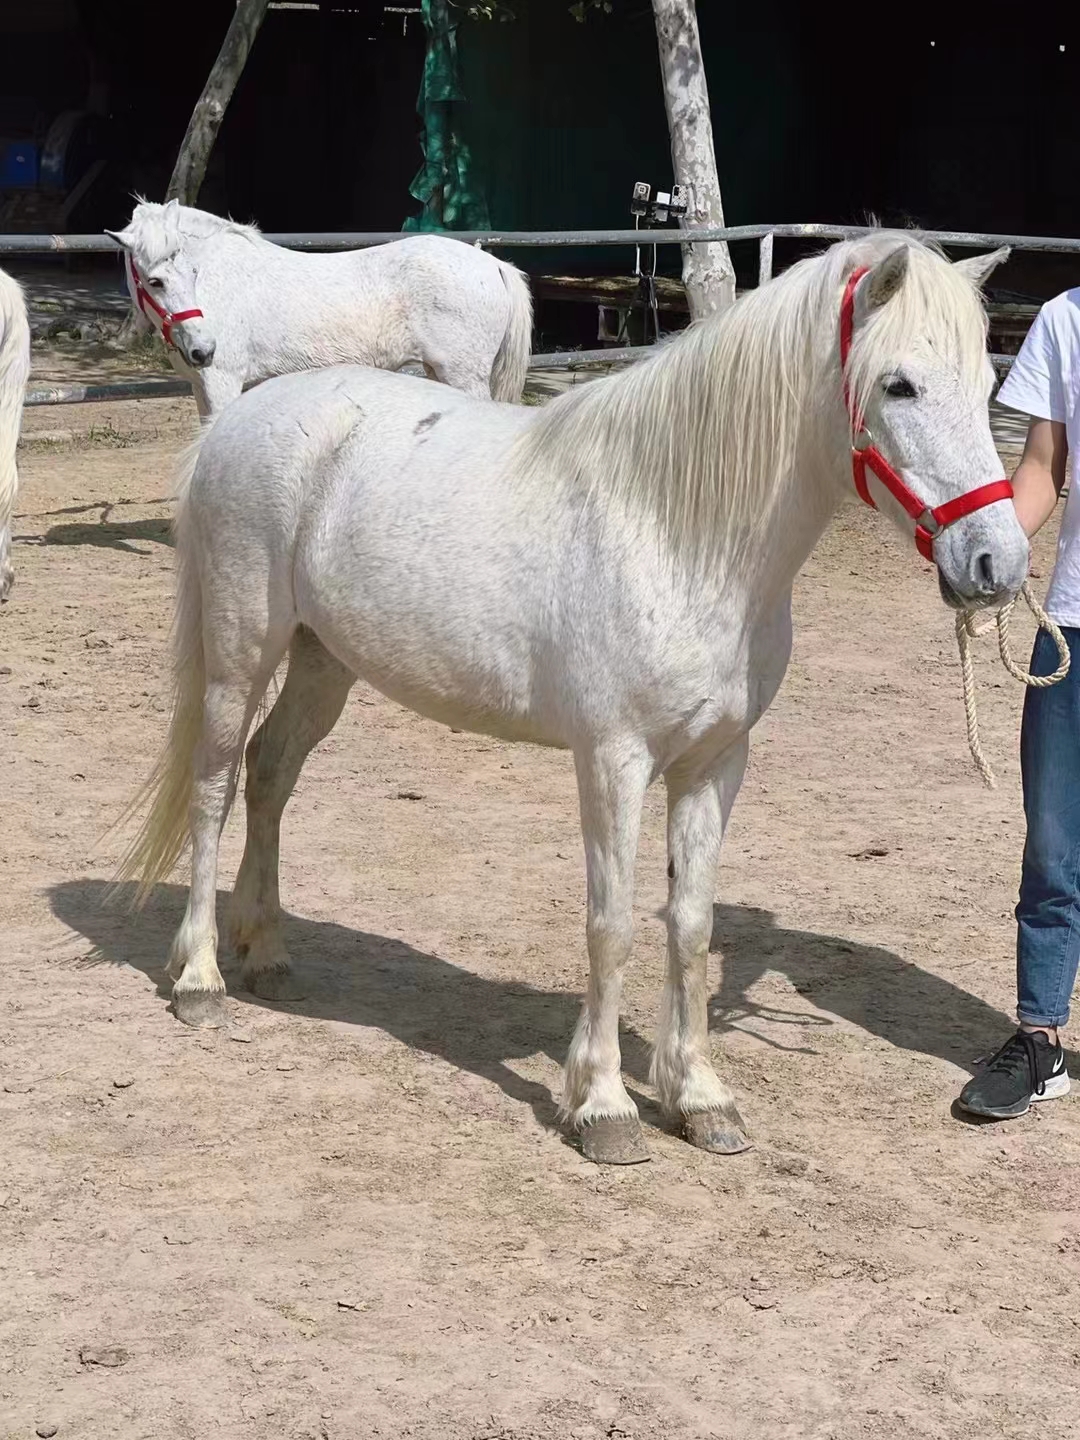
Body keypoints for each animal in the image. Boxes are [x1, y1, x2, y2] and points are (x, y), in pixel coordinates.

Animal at [105, 200, 538, 420]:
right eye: (155, 281)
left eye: (193, 271)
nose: (204, 350)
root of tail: (494, 265)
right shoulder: (201, 386)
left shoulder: (222, 381)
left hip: (465, 375)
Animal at [118, 230, 1025, 1163]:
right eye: (900, 385)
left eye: (986, 387)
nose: (996, 563)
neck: (674, 529)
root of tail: (241, 417)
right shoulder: (614, 759)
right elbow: (612, 923)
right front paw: (603, 1106)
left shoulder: (716, 761)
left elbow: (691, 923)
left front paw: (699, 1097)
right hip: (240, 652)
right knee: (216, 786)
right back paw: (200, 980)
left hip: (323, 660)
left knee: (270, 776)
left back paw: (264, 952)